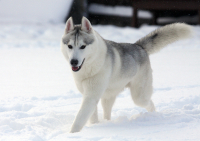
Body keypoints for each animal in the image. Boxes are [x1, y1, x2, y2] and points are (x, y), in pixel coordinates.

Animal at [61, 17, 192, 133]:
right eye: (70, 46)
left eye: (83, 46)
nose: (73, 62)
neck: (88, 68)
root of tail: (139, 46)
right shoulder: (89, 95)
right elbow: (91, 116)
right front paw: (94, 126)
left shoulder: (91, 96)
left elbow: (79, 118)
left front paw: (72, 134)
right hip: (108, 96)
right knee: (107, 112)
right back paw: (107, 123)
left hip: (139, 97)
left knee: (150, 103)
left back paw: (152, 115)